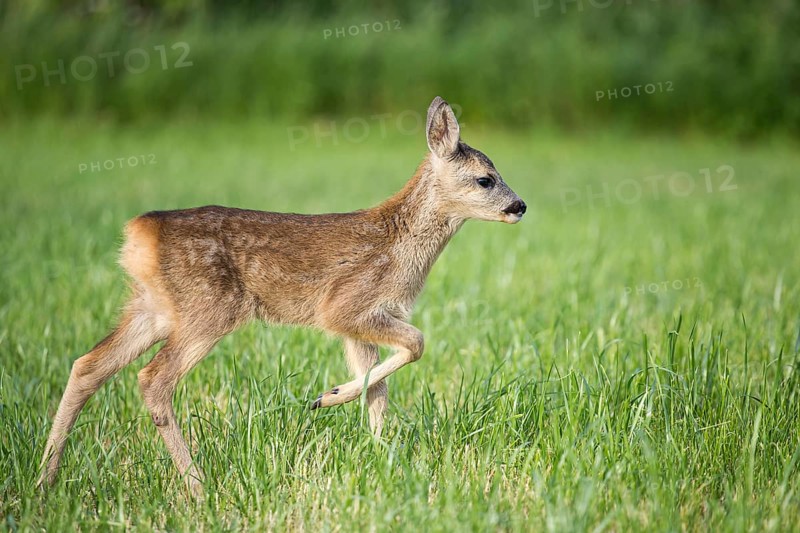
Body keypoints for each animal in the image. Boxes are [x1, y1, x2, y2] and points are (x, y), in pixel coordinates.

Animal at [37, 96, 526, 497]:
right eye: (486, 179)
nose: (520, 206)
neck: (400, 245)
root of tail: (138, 234)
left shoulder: (360, 324)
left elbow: (378, 389)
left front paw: (378, 453)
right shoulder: (345, 306)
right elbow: (417, 345)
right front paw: (327, 399)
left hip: (152, 307)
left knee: (87, 365)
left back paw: (45, 481)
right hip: (208, 308)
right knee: (152, 379)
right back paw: (197, 487)